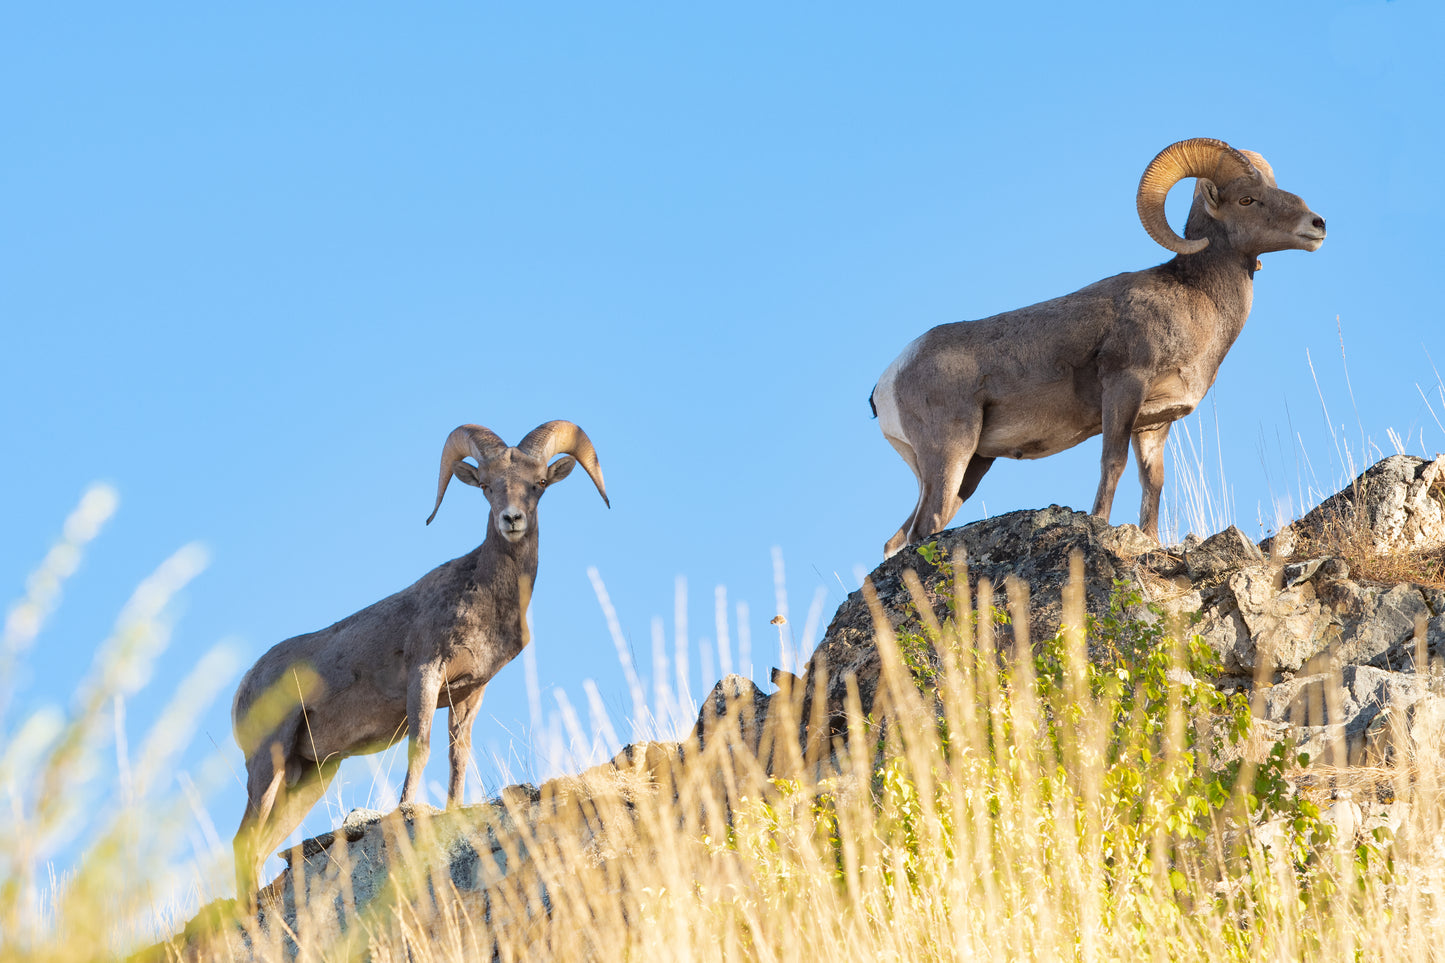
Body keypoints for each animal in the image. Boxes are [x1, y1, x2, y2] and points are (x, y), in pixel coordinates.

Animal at [231, 420, 608, 902]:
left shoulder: (469, 695)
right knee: (243, 842)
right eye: (487, 487)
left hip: (309, 778)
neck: (484, 597)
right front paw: (408, 807)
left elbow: (457, 757)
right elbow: (422, 746)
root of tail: (245, 685)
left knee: (260, 846)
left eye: (538, 484)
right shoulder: (426, 675)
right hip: (268, 762)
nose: (512, 520)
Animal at [870, 137, 1325, 558]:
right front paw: (1102, 526)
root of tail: (887, 381)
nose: (1317, 224)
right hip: (951, 453)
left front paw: (1150, 540)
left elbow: (1153, 481)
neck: (1196, 298)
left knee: (898, 538)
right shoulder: (1124, 387)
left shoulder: (1154, 424)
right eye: (1247, 199)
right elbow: (1113, 463)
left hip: (971, 467)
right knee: (923, 528)